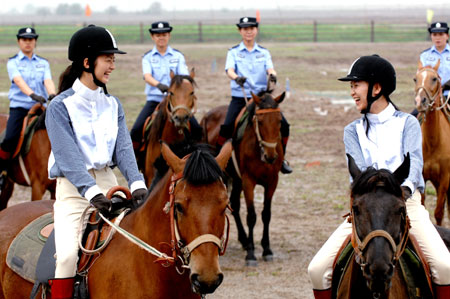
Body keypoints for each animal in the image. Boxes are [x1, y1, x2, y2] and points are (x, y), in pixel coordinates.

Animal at [201, 92, 284, 268]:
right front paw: (251, 254)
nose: (270, 156)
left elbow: (266, 214)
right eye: (260, 121)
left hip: (236, 179)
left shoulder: (272, 181)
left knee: (234, 205)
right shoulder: (248, 181)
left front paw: (267, 249)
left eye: (280, 121)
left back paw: (244, 240)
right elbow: (251, 216)